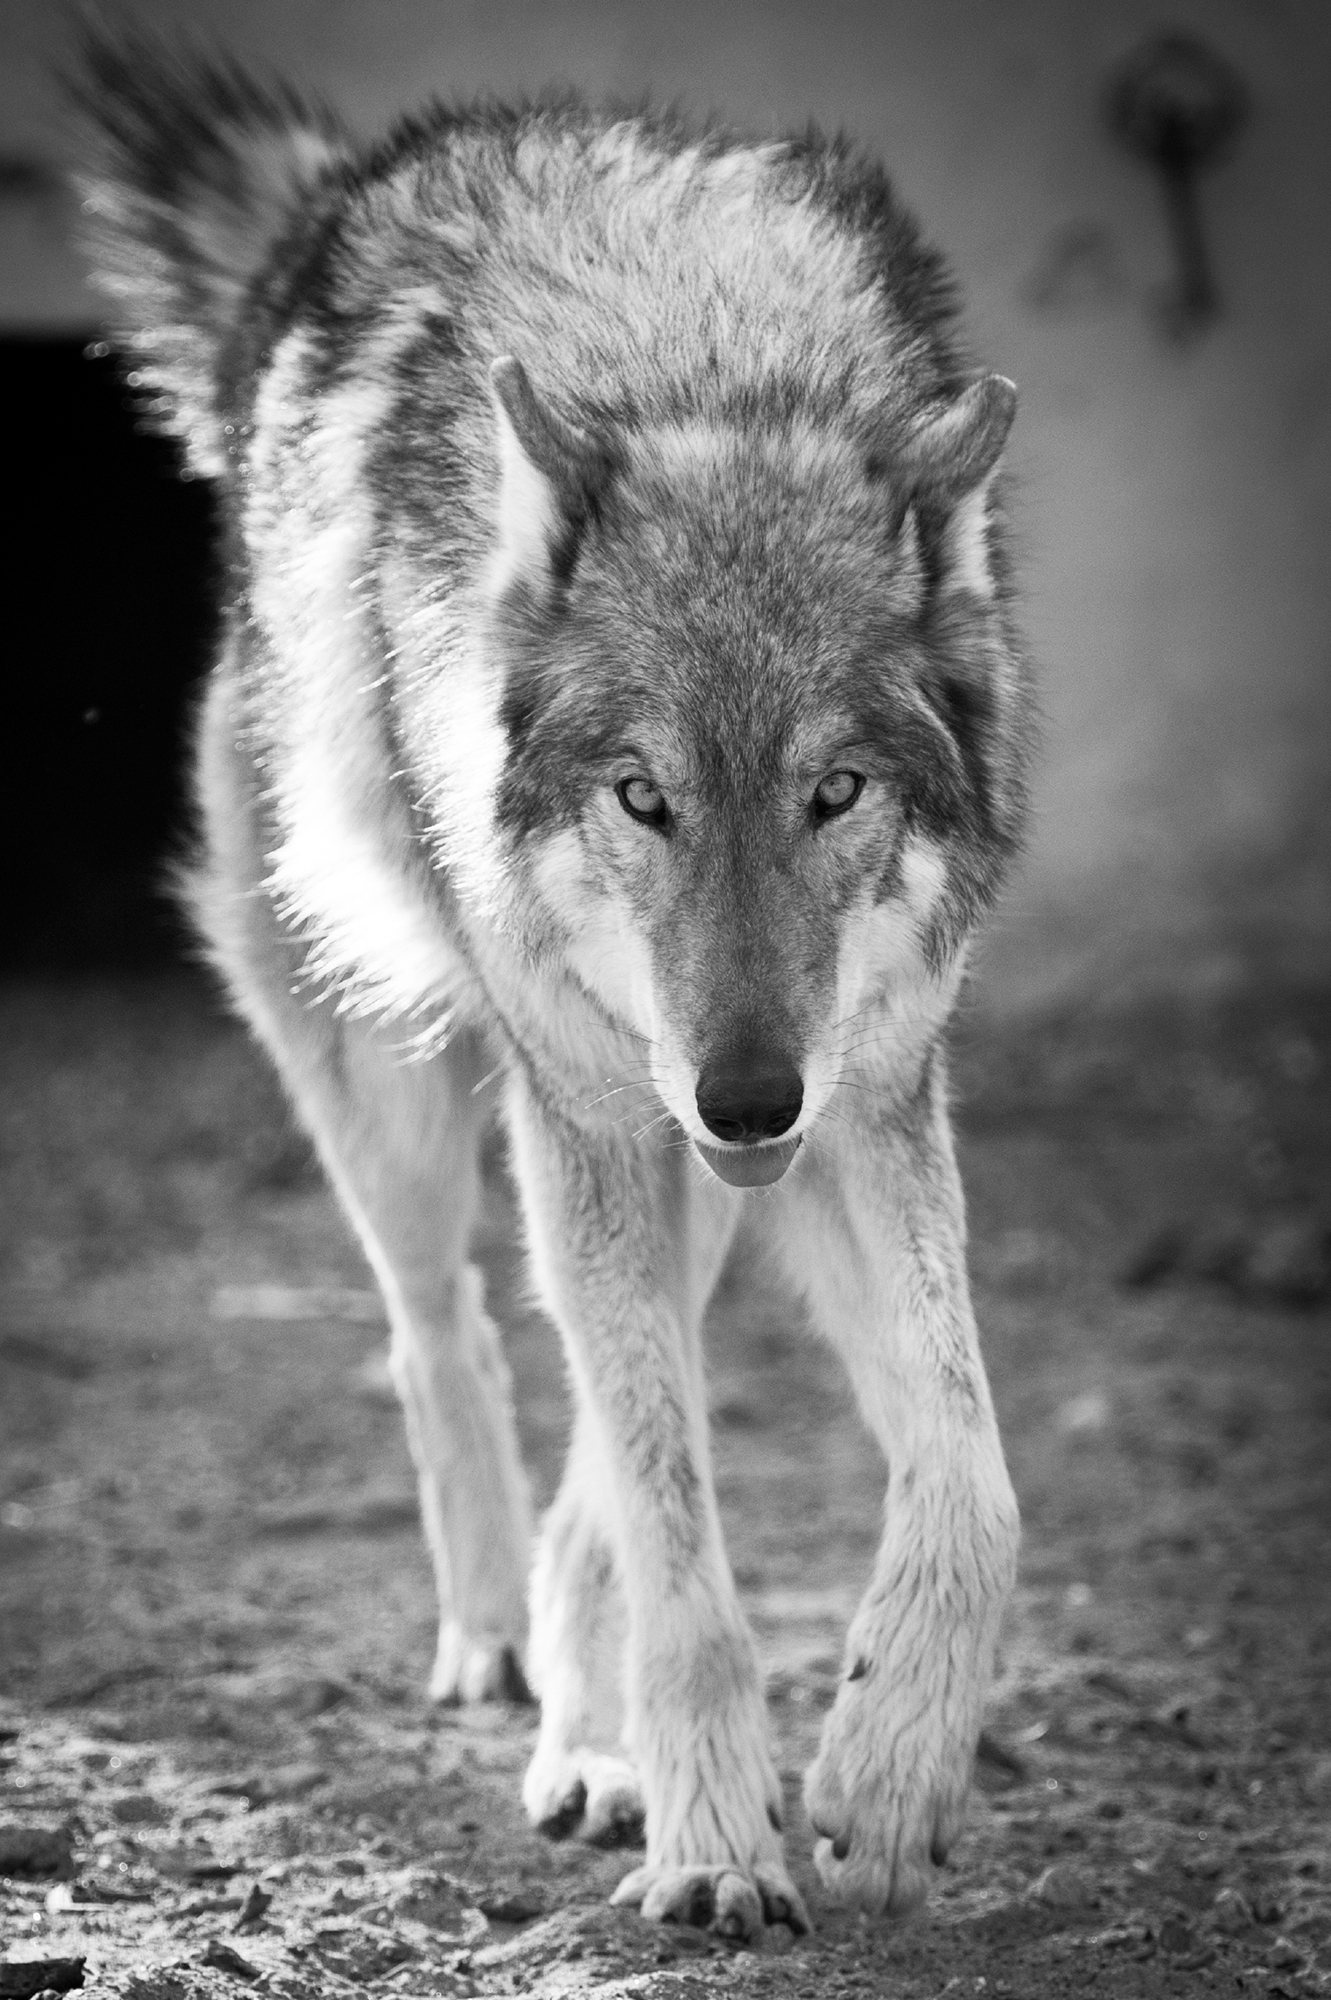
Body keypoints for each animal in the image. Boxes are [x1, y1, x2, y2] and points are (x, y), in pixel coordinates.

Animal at [69, 31, 1023, 1936]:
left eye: (835, 791)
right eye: (641, 796)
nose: (747, 1090)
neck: (704, 364)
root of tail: (325, 200)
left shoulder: (864, 1099)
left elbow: (967, 1477)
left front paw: (881, 1777)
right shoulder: (601, 1111)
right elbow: (667, 1519)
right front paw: (716, 1838)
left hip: (684, 1148)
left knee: (597, 1414)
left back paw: (592, 1740)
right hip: (426, 1090)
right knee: (441, 1337)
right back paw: (508, 1655)